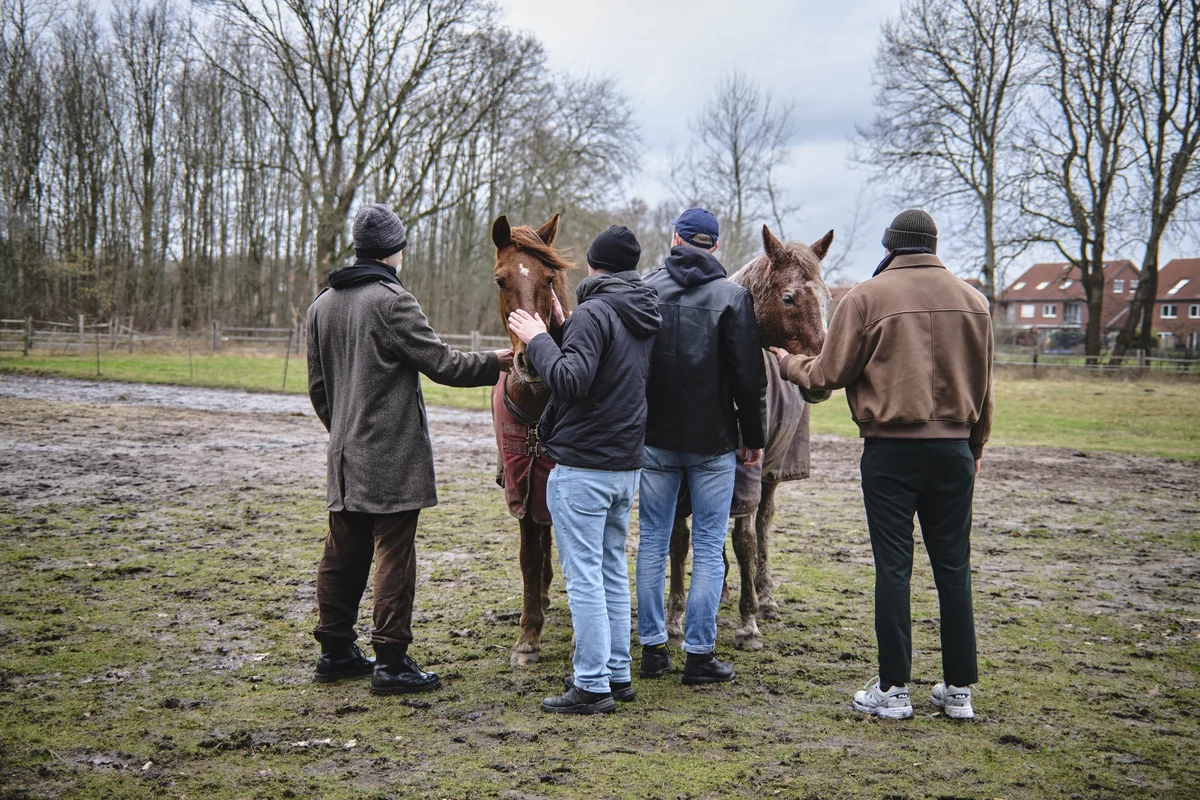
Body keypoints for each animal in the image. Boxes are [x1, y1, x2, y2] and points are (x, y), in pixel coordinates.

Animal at [665, 224, 833, 651]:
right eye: (789, 297)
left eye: (827, 297)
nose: (819, 377)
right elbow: (680, 540)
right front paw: (675, 617)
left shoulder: (748, 475)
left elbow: (745, 540)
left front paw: (748, 621)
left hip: (773, 473)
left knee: (763, 525)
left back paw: (765, 597)